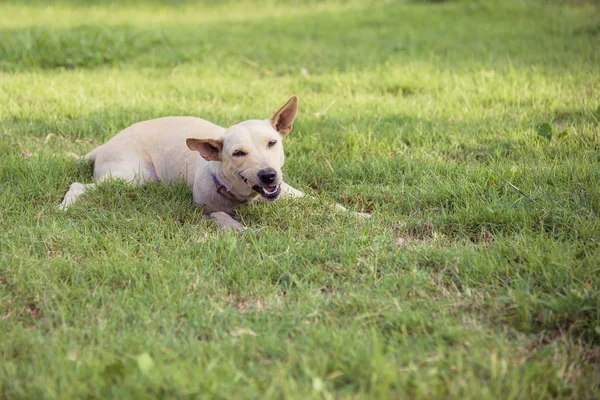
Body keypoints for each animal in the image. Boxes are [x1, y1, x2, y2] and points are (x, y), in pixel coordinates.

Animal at [61, 95, 370, 230]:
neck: (245, 196)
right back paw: (66, 205)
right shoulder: (205, 208)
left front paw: (358, 216)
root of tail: (104, 144)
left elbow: (325, 203)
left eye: (272, 143)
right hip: (134, 176)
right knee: (78, 184)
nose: (269, 175)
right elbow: (222, 217)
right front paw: (238, 229)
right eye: (238, 153)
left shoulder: (292, 192)